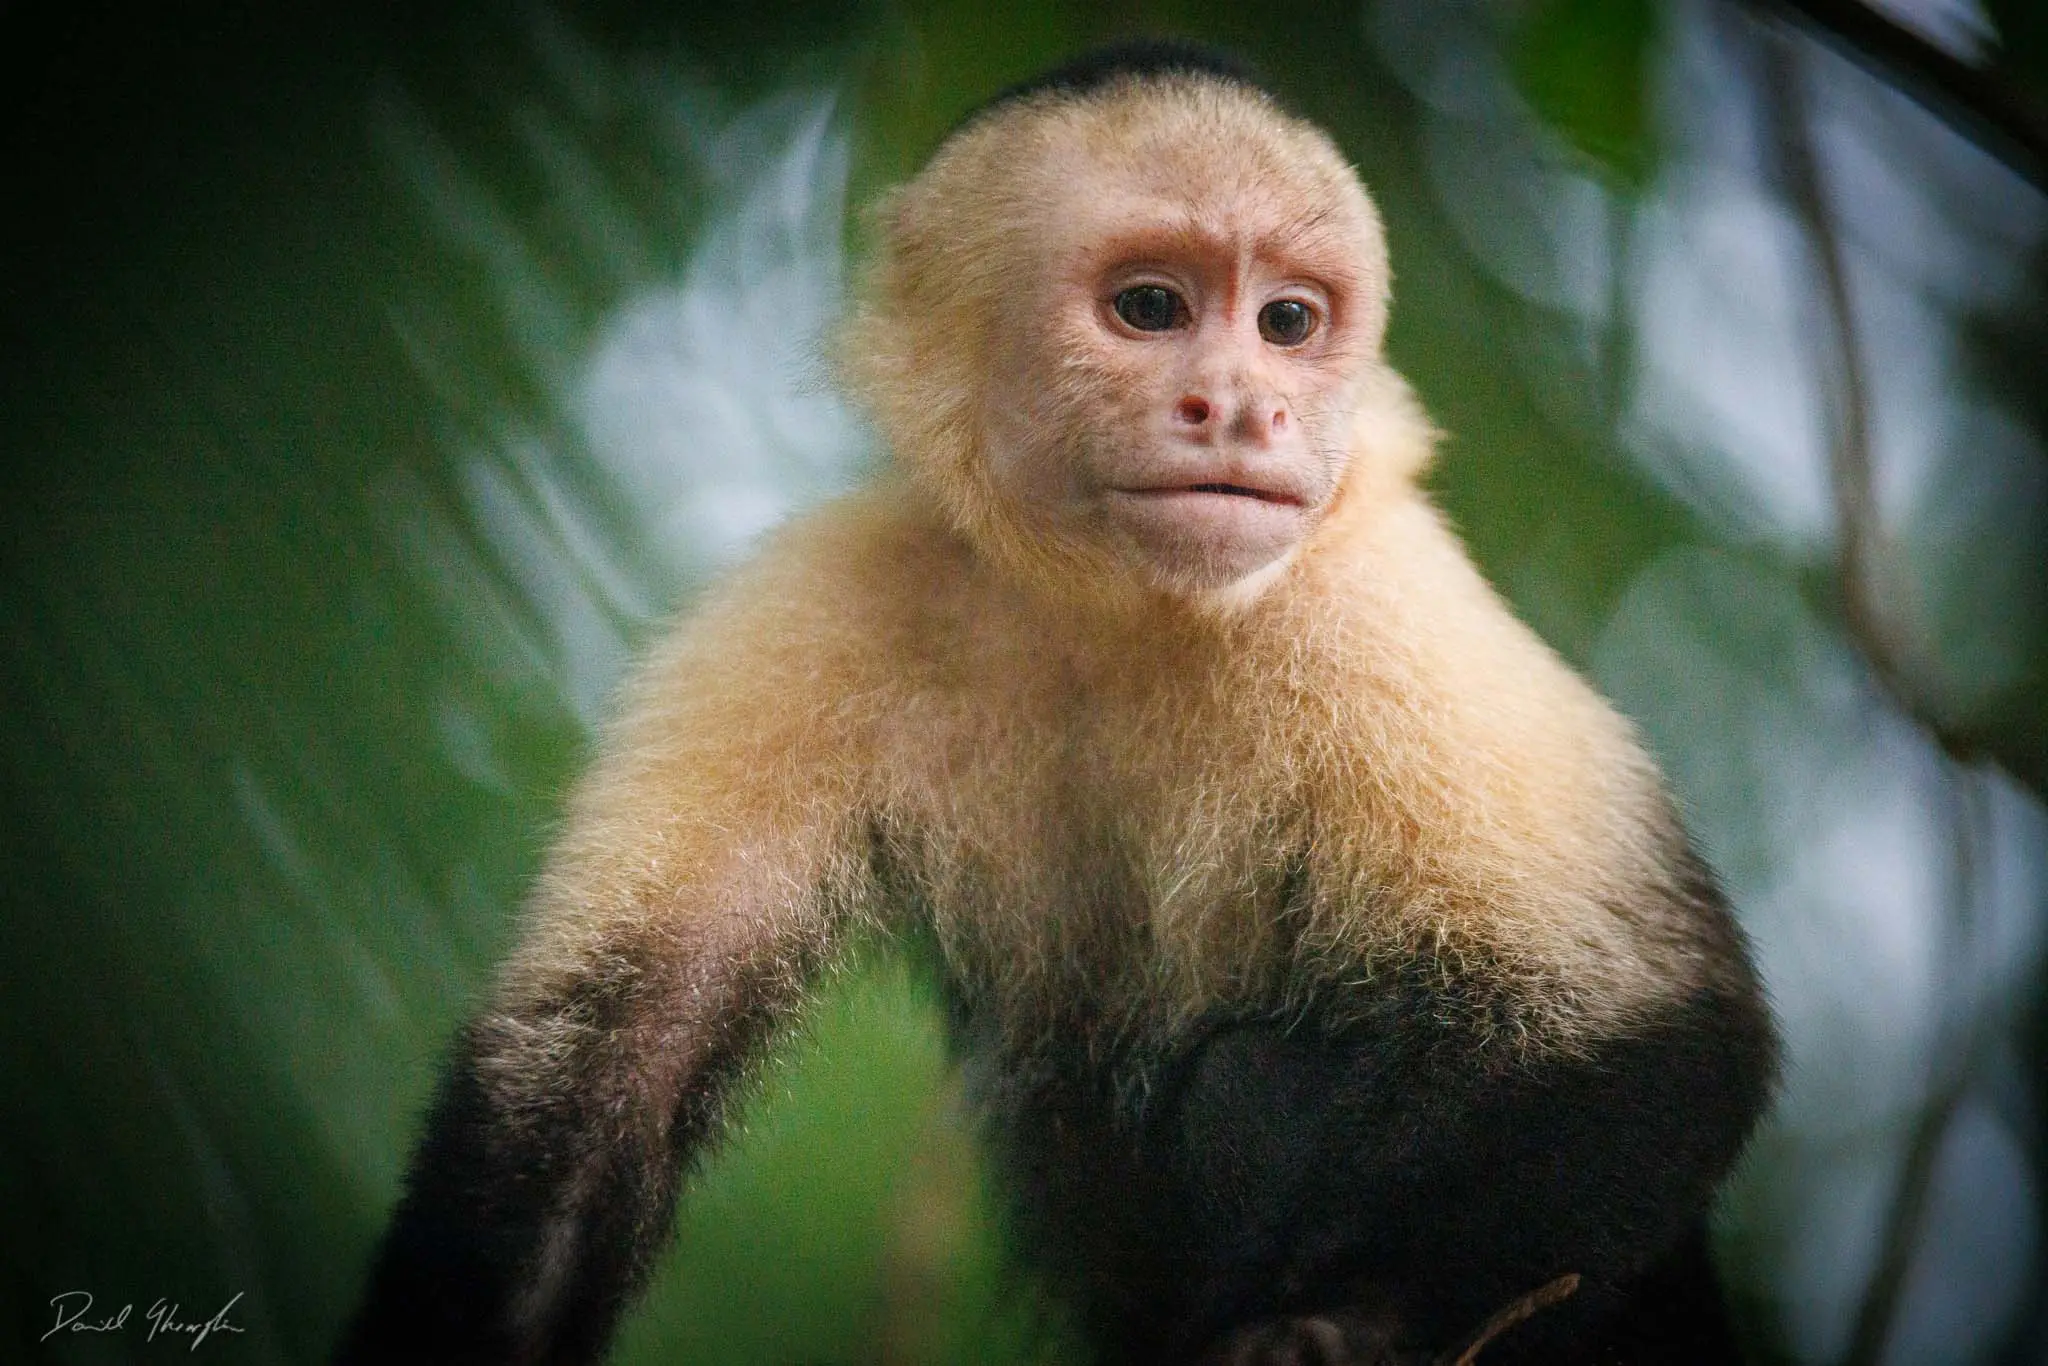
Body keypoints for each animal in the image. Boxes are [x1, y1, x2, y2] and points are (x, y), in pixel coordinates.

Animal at [336, 40, 1777, 1366]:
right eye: (1149, 306)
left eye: (1288, 324)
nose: (1241, 407)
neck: (1114, 611)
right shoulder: (824, 597)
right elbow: (602, 1063)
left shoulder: (1372, 598)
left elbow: (1650, 1031)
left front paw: (1339, 1329)